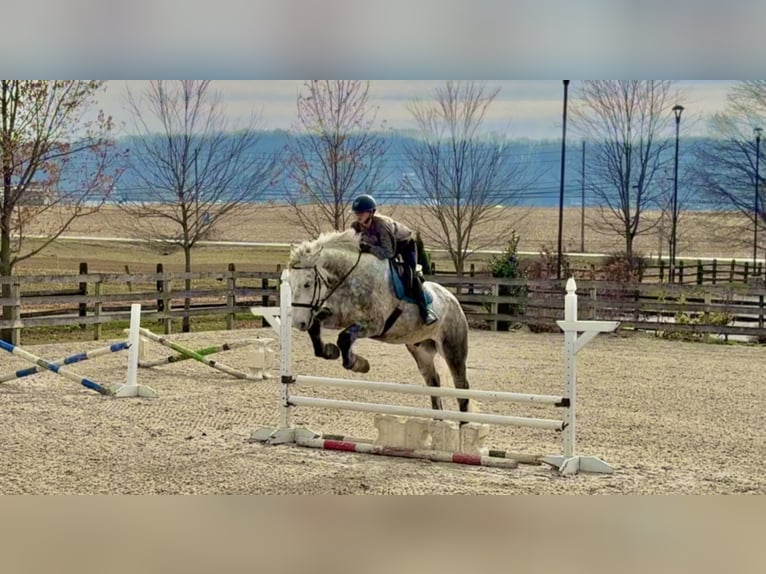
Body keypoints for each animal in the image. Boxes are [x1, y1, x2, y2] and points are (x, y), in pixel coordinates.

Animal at [285, 229, 471, 414]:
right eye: (290, 284)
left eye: (307, 284)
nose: (298, 323)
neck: (350, 278)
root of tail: (453, 299)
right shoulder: (337, 317)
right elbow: (316, 328)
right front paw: (329, 351)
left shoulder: (374, 325)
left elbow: (344, 338)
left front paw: (359, 364)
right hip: (421, 351)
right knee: (433, 382)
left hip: (452, 349)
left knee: (462, 388)